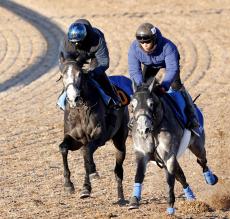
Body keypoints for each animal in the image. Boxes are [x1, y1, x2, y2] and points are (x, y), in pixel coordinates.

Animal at [58, 59, 130, 202]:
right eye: (63, 75)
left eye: (79, 74)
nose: (73, 98)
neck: (81, 110)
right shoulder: (75, 140)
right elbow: (63, 148)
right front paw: (68, 184)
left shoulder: (99, 137)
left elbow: (87, 154)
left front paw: (91, 175)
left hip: (120, 140)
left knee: (118, 169)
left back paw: (121, 197)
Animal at [129, 79, 217, 215]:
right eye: (132, 105)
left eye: (151, 104)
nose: (143, 129)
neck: (154, 130)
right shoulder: (142, 154)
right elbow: (139, 175)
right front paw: (134, 200)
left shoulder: (169, 156)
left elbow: (170, 181)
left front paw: (170, 207)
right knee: (181, 175)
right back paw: (190, 197)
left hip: (197, 145)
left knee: (202, 161)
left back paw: (210, 179)